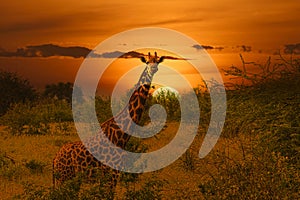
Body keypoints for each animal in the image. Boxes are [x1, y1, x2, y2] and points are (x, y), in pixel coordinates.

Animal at [52, 52, 164, 189]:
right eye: (147, 62)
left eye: (157, 61)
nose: (153, 68)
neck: (121, 135)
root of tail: (55, 159)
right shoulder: (111, 174)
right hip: (63, 178)